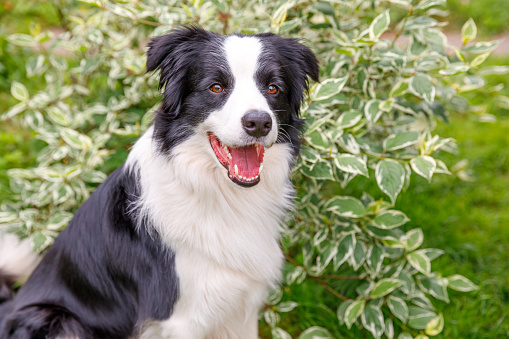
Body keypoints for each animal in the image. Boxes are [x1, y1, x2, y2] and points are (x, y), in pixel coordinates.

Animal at [0, 27, 318, 339]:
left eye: (273, 88)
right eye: (216, 87)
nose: (259, 123)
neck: (220, 194)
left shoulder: (240, 309)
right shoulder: (182, 319)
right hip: (59, 320)